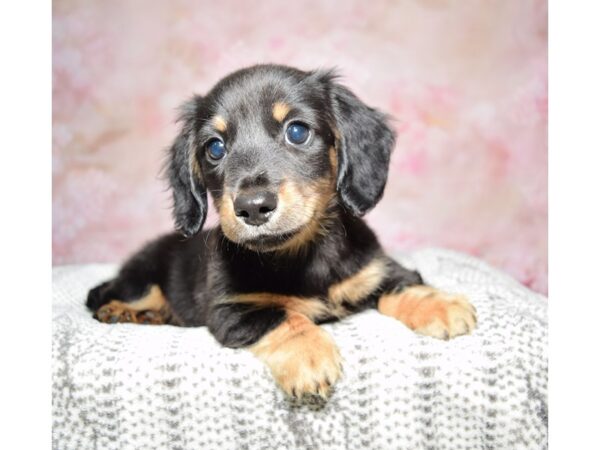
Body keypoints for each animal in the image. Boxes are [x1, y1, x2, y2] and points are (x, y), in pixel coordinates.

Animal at [85, 63, 478, 398]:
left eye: (297, 131)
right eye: (215, 148)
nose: (253, 206)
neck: (299, 255)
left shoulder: (375, 270)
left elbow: (405, 284)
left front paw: (442, 306)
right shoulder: (233, 310)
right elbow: (284, 317)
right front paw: (309, 357)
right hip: (142, 279)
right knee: (113, 294)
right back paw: (125, 311)